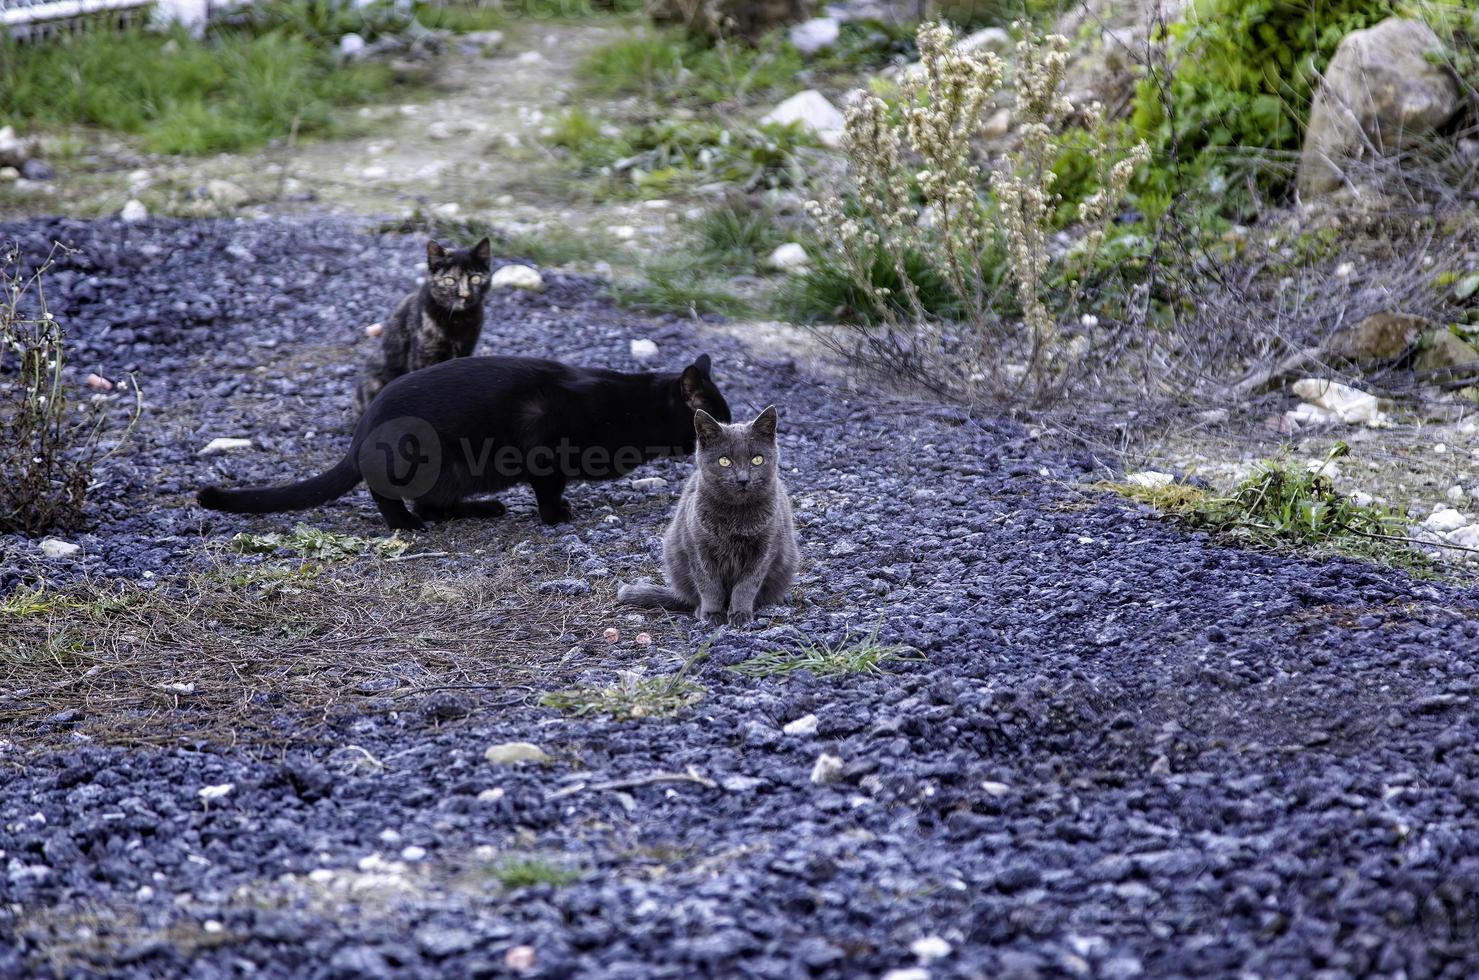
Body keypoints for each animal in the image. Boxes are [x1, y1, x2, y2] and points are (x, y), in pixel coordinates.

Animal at [199, 356, 730, 532]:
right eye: (716, 420)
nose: (726, 432)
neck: (628, 406)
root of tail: (360, 431)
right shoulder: (542, 449)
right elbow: (549, 489)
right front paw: (556, 517)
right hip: (416, 455)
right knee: (391, 495)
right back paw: (406, 525)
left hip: (458, 473)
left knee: (434, 502)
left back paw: (483, 509)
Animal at [354, 237, 493, 413]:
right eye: (450, 280)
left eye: (475, 278)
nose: (465, 295)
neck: (458, 320)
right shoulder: (423, 356)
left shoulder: (466, 349)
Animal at [612, 405, 798, 629]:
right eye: (724, 461)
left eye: (757, 459)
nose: (743, 479)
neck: (735, 518)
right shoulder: (697, 546)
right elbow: (708, 584)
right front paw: (712, 613)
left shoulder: (765, 549)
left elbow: (746, 585)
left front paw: (740, 614)